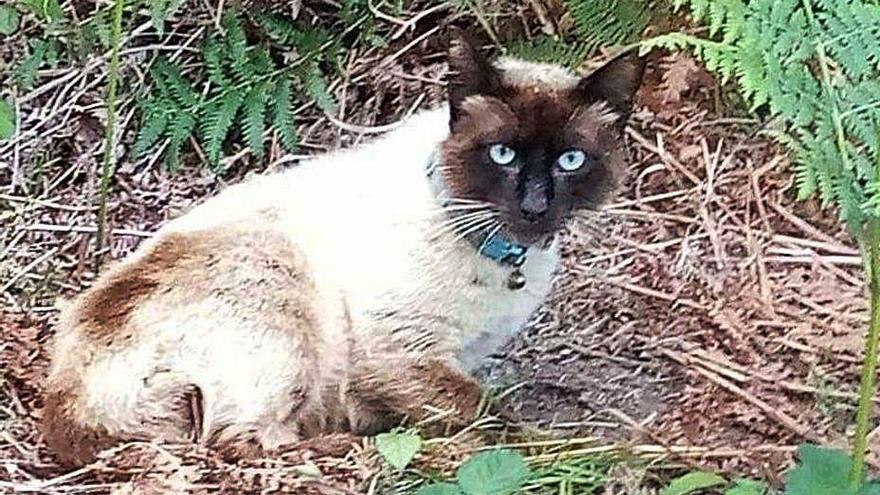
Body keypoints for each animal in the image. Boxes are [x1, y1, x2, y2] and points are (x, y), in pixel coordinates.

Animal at [41, 29, 644, 466]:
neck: (504, 258)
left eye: (571, 161)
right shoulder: (403, 355)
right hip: (279, 290)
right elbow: (497, 419)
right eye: (503, 155)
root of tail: (68, 409)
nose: (536, 207)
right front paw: (600, 453)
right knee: (241, 440)